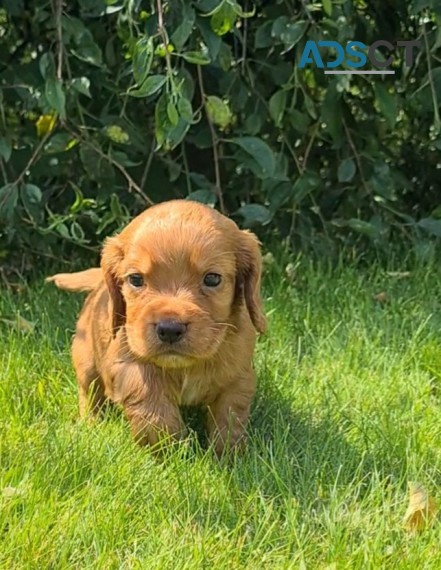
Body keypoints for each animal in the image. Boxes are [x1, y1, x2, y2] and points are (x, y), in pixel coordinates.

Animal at [49, 199, 266, 452]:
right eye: (135, 279)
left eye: (212, 278)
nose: (170, 329)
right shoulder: (128, 359)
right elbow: (152, 404)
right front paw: (171, 451)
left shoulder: (238, 375)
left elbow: (230, 416)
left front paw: (228, 455)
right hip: (85, 359)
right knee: (89, 394)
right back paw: (91, 424)